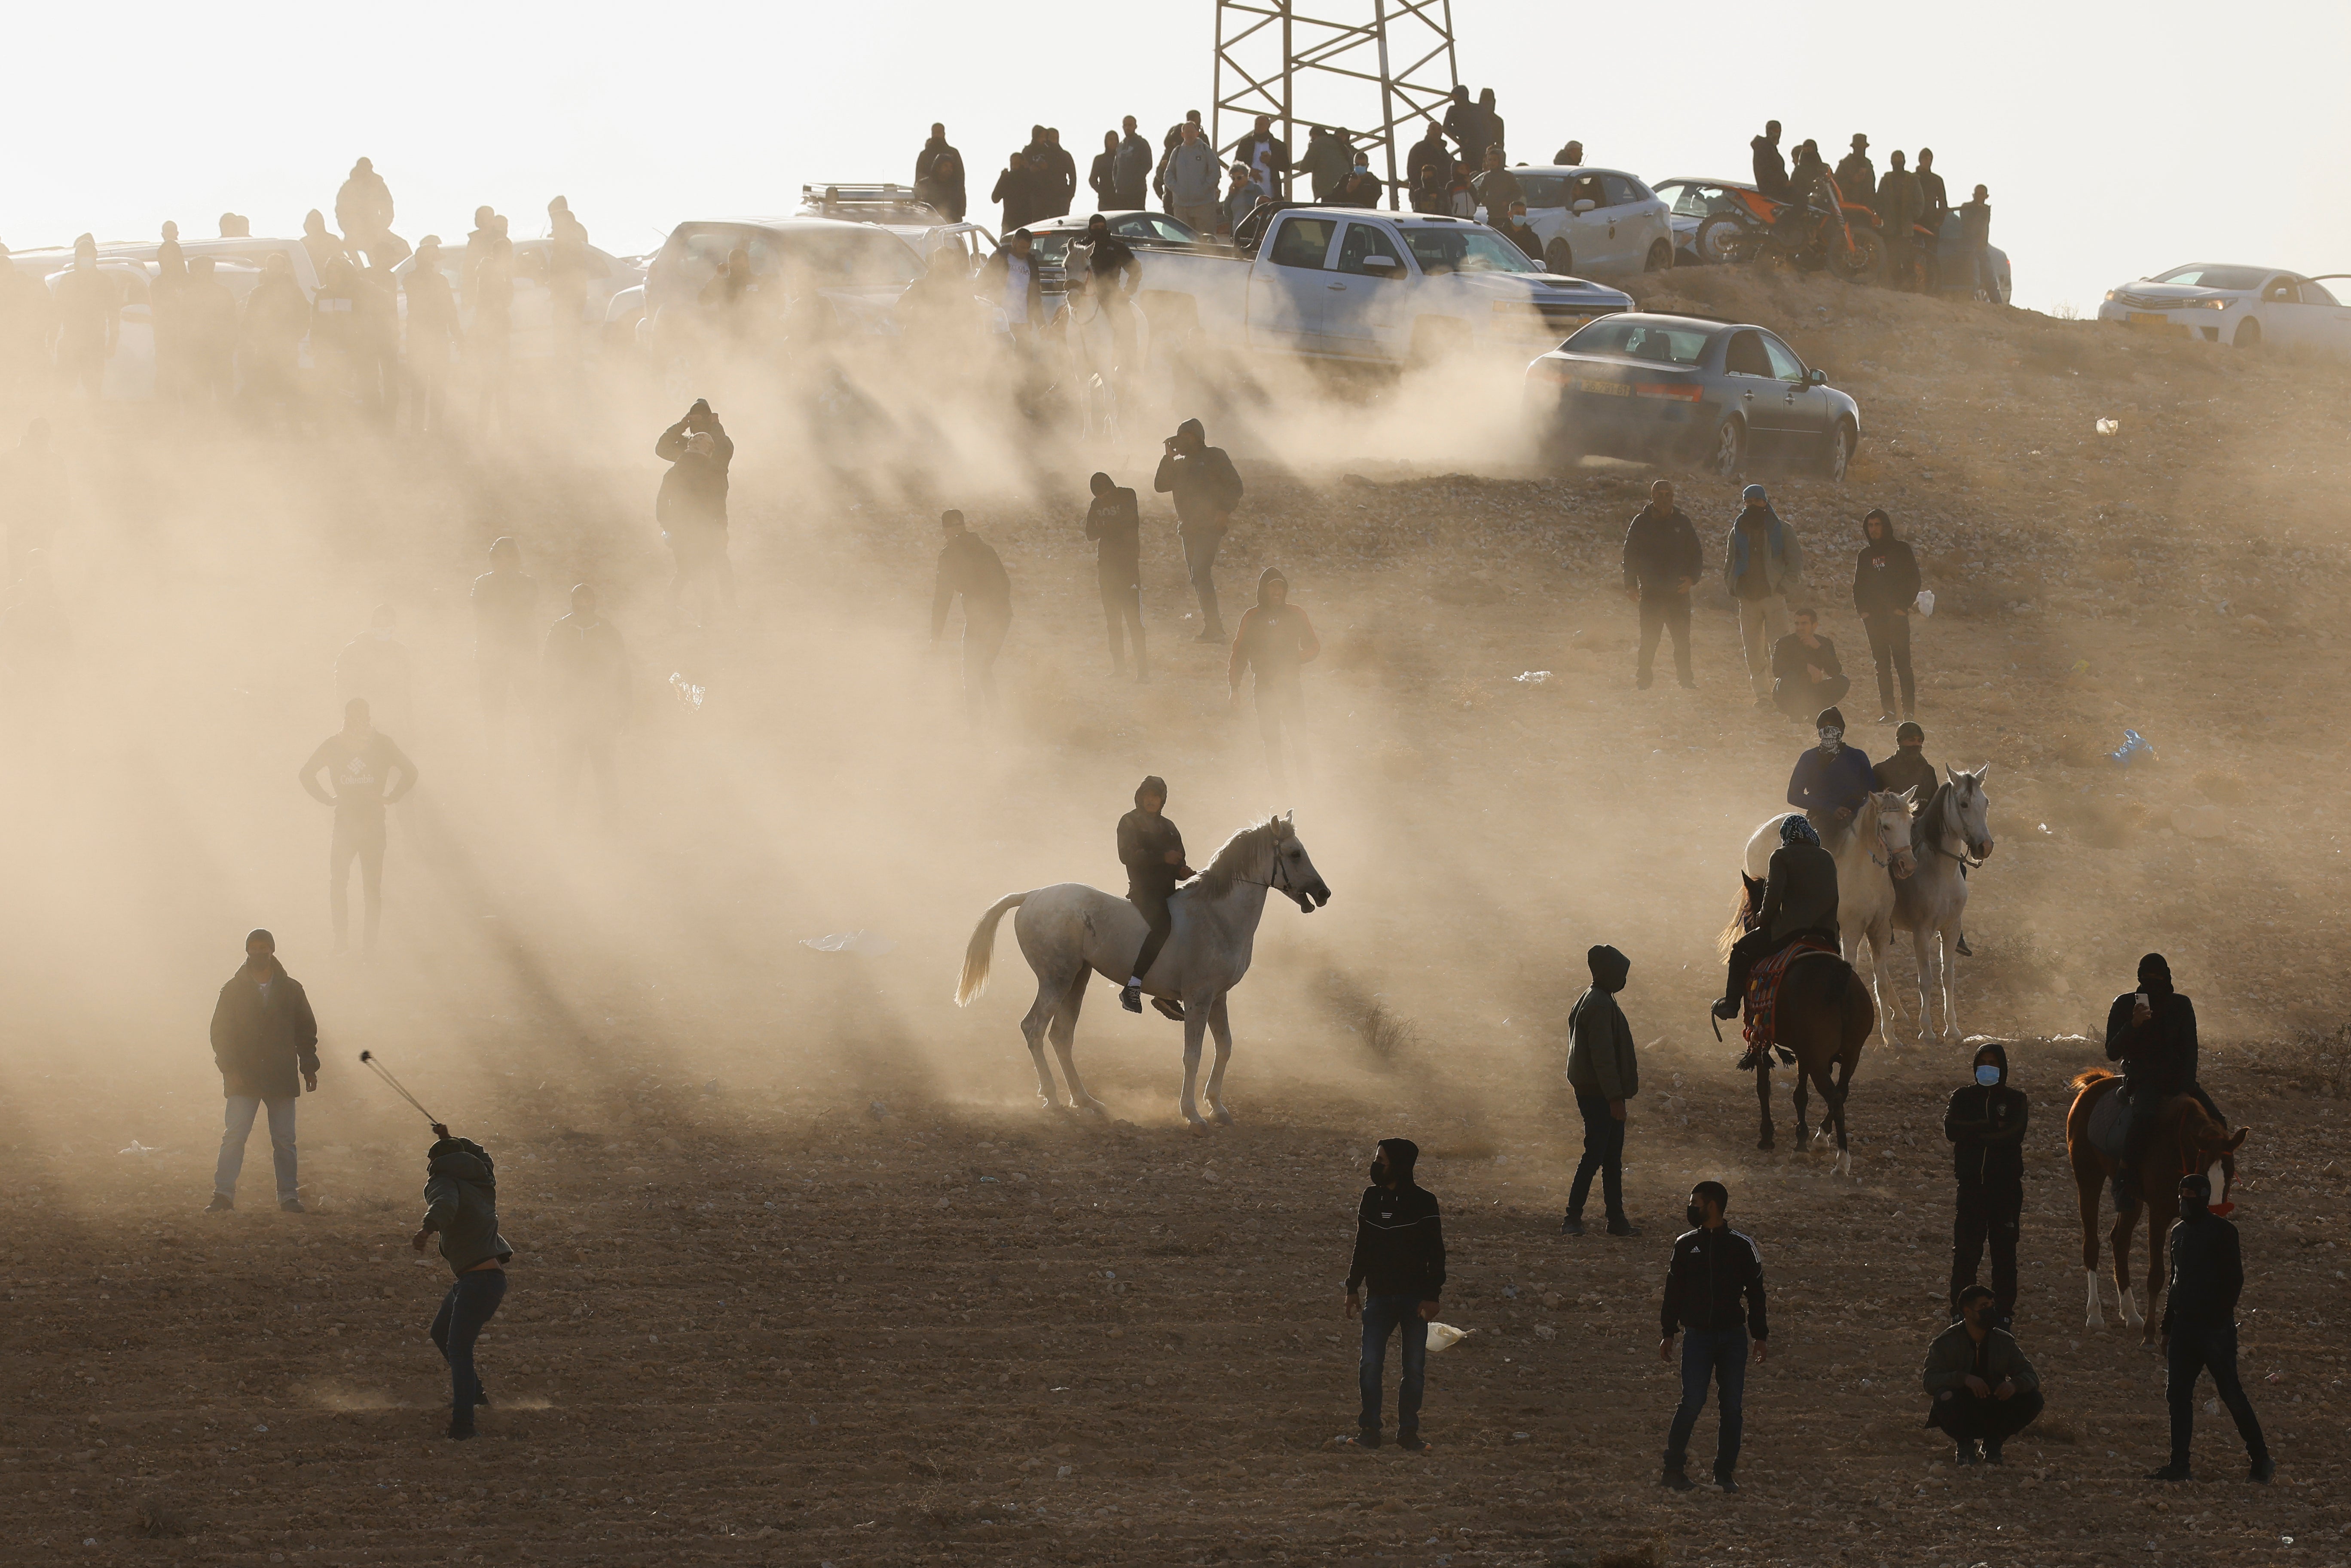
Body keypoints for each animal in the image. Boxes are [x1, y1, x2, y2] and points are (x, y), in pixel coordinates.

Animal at [950, 822, 1326, 1128]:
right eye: (1295, 853)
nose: (1324, 894)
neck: (1217, 915)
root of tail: (1031, 896)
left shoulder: (1218, 997)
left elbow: (1225, 1047)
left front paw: (1218, 1108)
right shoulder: (1199, 997)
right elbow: (1193, 1054)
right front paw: (1192, 1113)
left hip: (1078, 978)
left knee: (1061, 1035)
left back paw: (1086, 1101)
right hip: (1055, 979)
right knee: (1034, 1028)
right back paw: (1053, 1098)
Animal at [1711, 870, 1871, 1175]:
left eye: (1750, 909)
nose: (1751, 923)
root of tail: (1841, 977)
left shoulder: (1760, 1035)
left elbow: (1764, 1086)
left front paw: (1767, 1137)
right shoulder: (1805, 1052)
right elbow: (1800, 1094)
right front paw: (1801, 1142)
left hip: (1820, 1058)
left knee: (1835, 1097)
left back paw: (1841, 1161)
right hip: (1850, 1054)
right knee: (1842, 1092)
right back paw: (1821, 1140)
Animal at [1740, 799, 1918, 1044]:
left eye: (1910, 823)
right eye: (1887, 826)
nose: (1907, 865)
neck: (1865, 874)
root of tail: (1757, 834)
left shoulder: (1879, 930)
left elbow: (1881, 982)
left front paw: (1890, 1037)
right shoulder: (1851, 933)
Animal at [1890, 771, 2003, 1048]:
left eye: (1986, 802)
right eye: (1964, 804)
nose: (1985, 847)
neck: (1939, 872)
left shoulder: (1951, 929)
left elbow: (1948, 977)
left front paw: (1952, 1029)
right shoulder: (1921, 933)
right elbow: (1926, 979)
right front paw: (1927, 1031)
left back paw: (1898, 1011)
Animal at [2069, 1072, 2247, 1345]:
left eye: (2229, 1174)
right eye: (2202, 1171)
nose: (2216, 1211)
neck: (2178, 1147)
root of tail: (2096, 1083)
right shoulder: (2159, 1214)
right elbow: (2157, 1276)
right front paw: (2151, 1335)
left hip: (2131, 1200)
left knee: (2120, 1242)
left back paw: (2131, 1314)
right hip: (2088, 1176)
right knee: (2092, 1246)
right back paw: (2096, 1315)